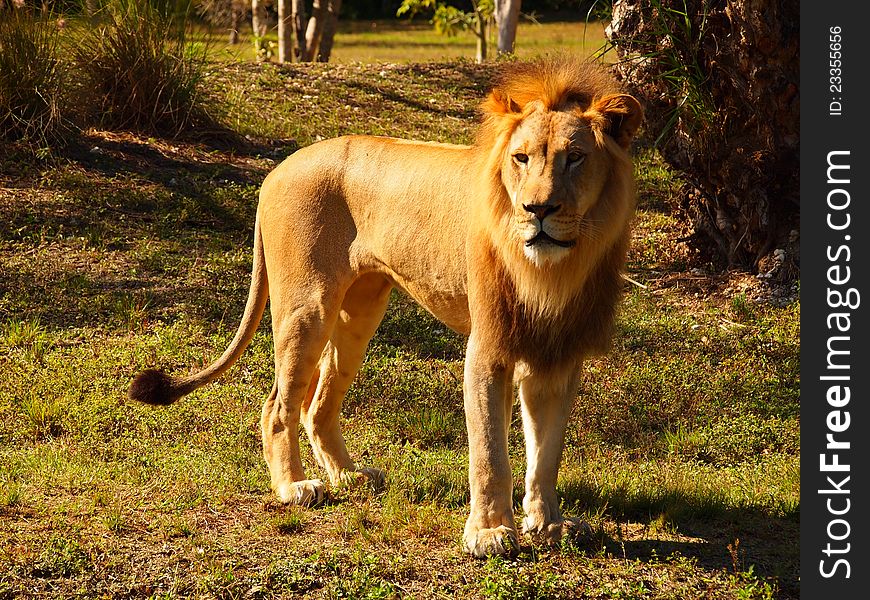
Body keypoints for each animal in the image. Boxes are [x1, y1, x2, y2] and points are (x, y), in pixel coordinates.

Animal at [131, 56, 648, 556]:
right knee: (279, 404)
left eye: (575, 158)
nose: (536, 210)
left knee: (317, 404)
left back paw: (349, 475)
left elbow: (546, 452)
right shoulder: (487, 348)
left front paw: (549, 524)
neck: (553, 271)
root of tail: (277, 169)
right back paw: (295, 486)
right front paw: (488, 533)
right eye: (521, 159)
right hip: (307, 308)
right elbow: (490, 452)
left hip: (359, 314)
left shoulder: (557, 354)